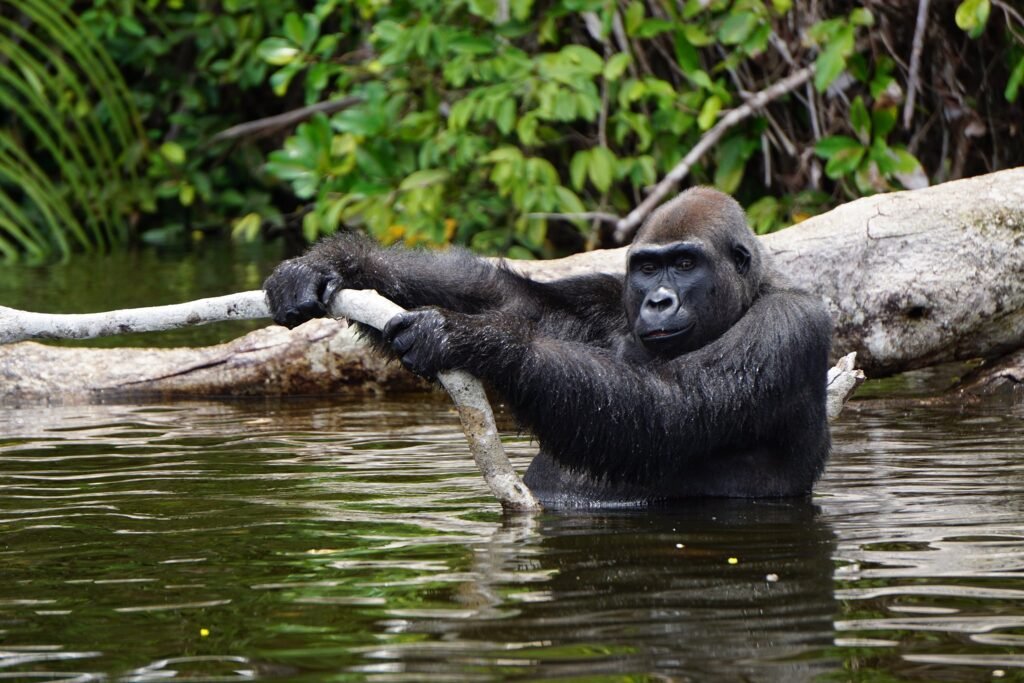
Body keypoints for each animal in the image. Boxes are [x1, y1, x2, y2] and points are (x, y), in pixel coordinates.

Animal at [262, 187, 831, 507]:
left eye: (686, 263)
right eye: (649, 267)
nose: (658, 301)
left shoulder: (787, 325)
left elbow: (671, 412)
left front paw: (477, 342)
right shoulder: (605, 303)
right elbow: (506, 296)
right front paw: (340, 262)